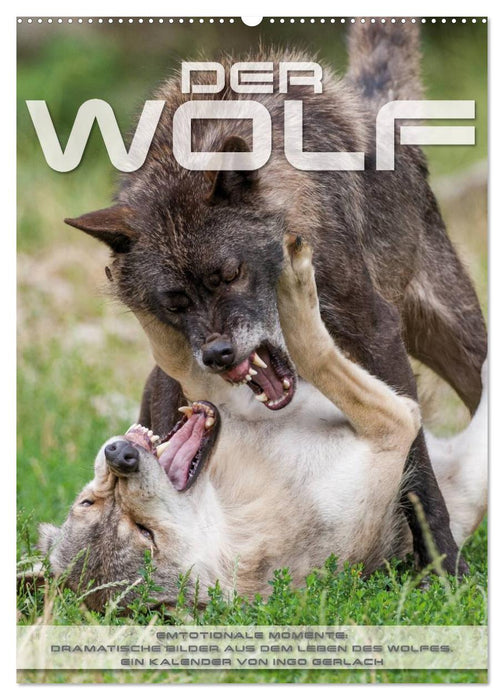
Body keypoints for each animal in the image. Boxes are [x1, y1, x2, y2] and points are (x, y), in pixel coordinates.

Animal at [38, 239, 487, 611]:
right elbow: (316, 352)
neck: (236, 514)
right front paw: (295, 287)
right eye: (145, 533)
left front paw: (127, 276)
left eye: (88, 502)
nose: (120, 456)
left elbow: (178, 355)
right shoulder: (393, 424)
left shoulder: (218, 390)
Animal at [65, 23, 487, 575]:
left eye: (231, 274)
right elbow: (168, 428)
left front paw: (445, 568)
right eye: (175, 302)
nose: (218, 355)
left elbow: (419, 472)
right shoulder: (172, 374)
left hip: (463, 347)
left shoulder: (377, 335)